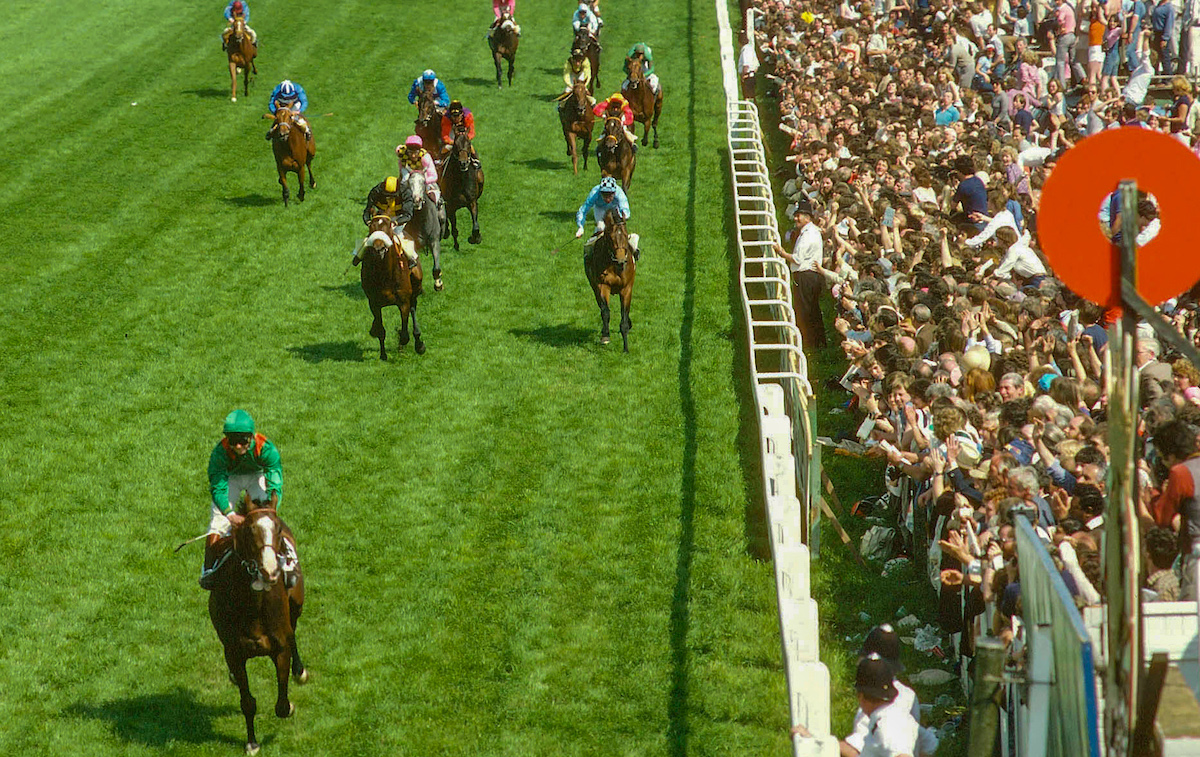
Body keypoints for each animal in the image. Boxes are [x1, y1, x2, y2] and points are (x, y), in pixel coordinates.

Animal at [205, 501, 302, 753]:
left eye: (277, 529)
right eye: (250, 530)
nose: (270, 570)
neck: (254, 606)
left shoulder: (280, 649)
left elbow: (282, 706)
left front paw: (290, 704)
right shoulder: (235, 653)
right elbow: (247, 702)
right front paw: (252, 742)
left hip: (297, 603)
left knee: (294, 630)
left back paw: (300, 671)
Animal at [357, 214, 424, 359]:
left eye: (387, 229)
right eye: (371, 229)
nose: (379, 248)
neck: (385, 275)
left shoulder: (403, 302)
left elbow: (404, 335)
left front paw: (403, 344)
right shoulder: (374, 303)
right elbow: (380, 330)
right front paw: (383, 355)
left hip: (416, 283)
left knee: (413, 307)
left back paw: (419, 344)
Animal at [583, 209, 638, 352]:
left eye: (626, 235)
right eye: (610, 237)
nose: (621, 260)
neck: (614, 266)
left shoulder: (626, 288)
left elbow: (624, 315)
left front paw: (625, 348)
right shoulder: (602, 285)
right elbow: (605, 311)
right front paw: (605, 337)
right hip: (593, 286)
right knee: (601, 307)